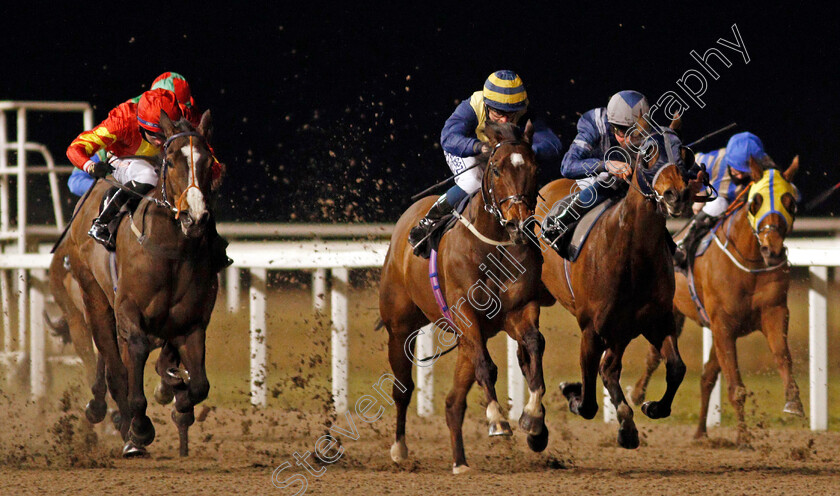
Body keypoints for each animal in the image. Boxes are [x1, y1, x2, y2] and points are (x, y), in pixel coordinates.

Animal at [63, 109, 218, 458]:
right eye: (170, 161)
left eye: (207, 162)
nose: (195, 217)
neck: (171, 251)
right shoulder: (128, 312)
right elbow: (131, 359)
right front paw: (140, 427)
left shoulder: (193, 322)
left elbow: (199, 385)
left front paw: (179, 401)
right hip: (94, 299)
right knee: (114, 368)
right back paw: (124, 430)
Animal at [378, 120, 544, 472]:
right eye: (496, 169)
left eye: (535, 168)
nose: (518, 224)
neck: (493, 246)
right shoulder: (464, 310)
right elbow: (487, 365)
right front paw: (498, 419)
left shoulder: (519, 309)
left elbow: (534, 344)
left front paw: (532, 416)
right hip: (400, 327)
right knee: (403, 389)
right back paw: (399, 448)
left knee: (453, 401)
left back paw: (460, 461)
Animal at [536, 129, 700, 450]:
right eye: (648, 153)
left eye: (684, 153)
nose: (676, 194)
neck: (631, 253)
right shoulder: (591, 330)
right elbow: (588, 400)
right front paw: (572, 393)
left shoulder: (656, 321)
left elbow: (676, 367)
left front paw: (650, 408)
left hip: (621, 331)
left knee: (610, 369)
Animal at [632, 155, 800, 442]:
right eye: (756, 202)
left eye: (790, 202)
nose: (773, 250)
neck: (751, 261)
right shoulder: (723, 325)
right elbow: (736, 388)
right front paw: (743, 439)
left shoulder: (774, 312)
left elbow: (782, 356)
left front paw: (793, 402)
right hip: (673, 312)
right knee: (654, 356)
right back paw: (637, 394)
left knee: (706, 376)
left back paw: (701, 432)